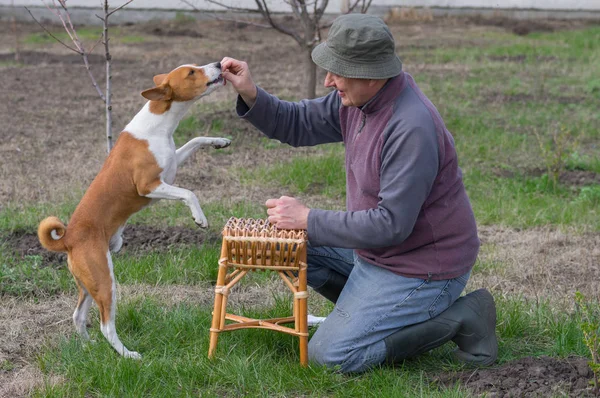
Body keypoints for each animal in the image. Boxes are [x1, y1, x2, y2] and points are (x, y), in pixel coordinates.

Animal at [37, 62, 230, 360]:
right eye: (191, 73)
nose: (218, 64)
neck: (158, 126)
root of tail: (68, 239)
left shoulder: (171, 166)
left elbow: (196, 139)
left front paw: (219, 141)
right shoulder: (149, 185)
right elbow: (189, 193)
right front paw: (199, 218)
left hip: (88, 284)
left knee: (78, 317)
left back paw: (88, 346)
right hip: (105, 280)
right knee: (106, 325)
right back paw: (128, 355)